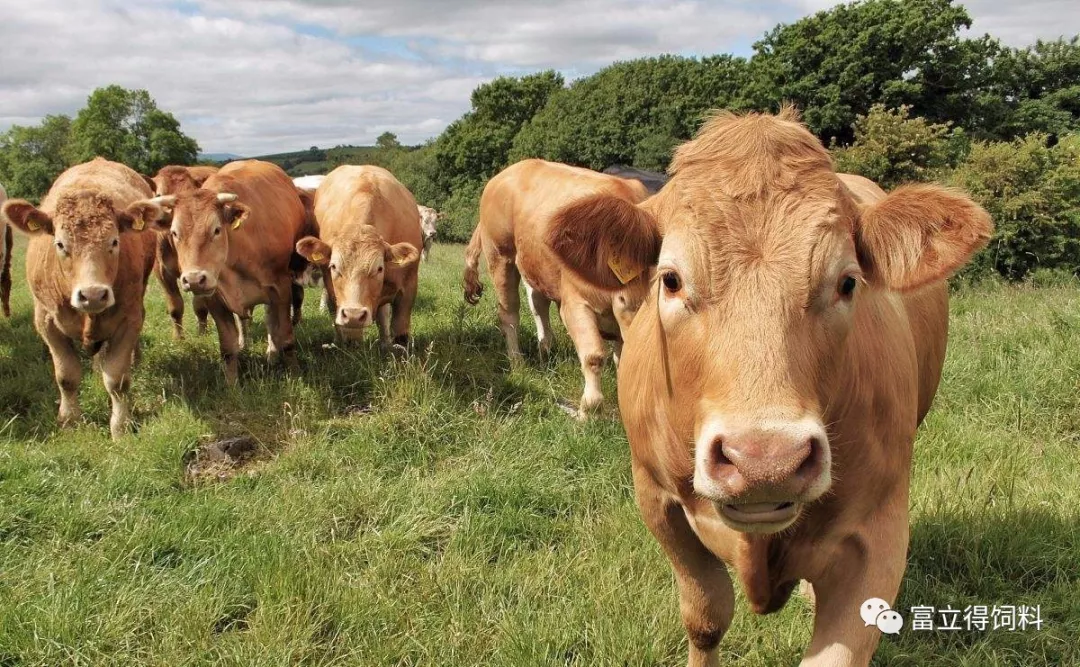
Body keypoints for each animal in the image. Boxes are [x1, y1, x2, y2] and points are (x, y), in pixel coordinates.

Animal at [1, 155, 162, 436]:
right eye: (60, 244)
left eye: (114, 242)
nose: (93, 294)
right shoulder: (45, 320)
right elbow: (66, 376)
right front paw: (69, 420)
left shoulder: (129, 318)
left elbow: (117, 379)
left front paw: (120, 426)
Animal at [137, 157, 311, 382]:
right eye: (175, 232)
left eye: (216, 229)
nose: (194, 279)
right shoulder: (215, 299)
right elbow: (227, 349)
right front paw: (232, 384)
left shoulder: (280, 289)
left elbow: (287, 338)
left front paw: (295, 374)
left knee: (271, 320)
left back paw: (272, 353)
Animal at [295, 164, 421, 347]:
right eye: (333, 266)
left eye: (380, 268)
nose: (354, 315)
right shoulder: (337, 297)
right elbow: (348, 331)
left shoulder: (408, 287)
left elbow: (400, 332)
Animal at [462, 158, 648, 414]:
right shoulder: (575, 304)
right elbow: (593, 356)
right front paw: (588, 409)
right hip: (500, 256)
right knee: (509, 314)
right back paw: (517, 362)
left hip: (536, 265)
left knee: (538, 306)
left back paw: (545, 351)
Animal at [544, 110, 989, 664]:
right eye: (671, 280)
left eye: (848, 282)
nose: (765, 461)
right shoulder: (656, 500)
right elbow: (705, 617)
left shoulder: (881, 529)